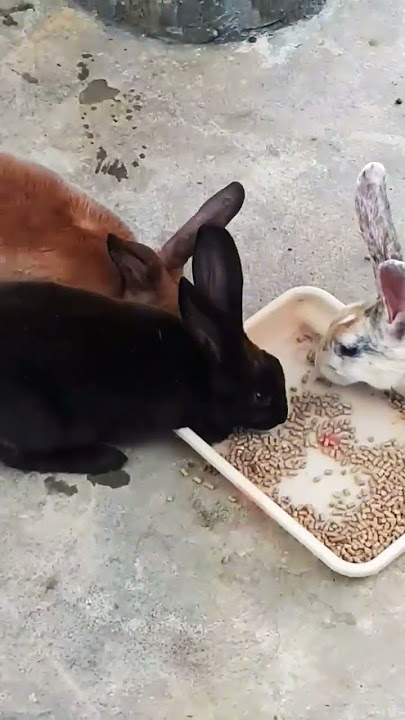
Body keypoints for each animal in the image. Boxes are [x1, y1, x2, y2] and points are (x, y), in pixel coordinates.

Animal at [0, 224, 288, 475]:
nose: (282, 416)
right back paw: (107, 459)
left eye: (277, 364)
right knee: (21, 457)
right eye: (260, 397)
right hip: (46, 422)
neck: (205, 371)